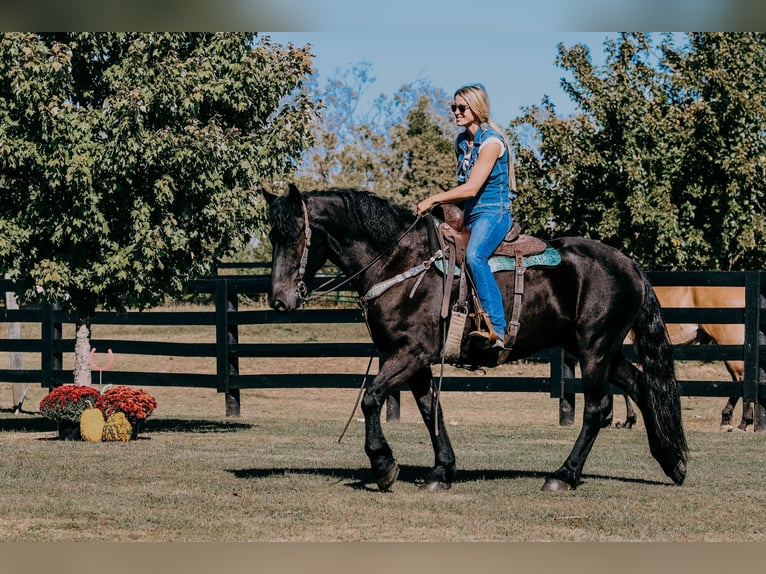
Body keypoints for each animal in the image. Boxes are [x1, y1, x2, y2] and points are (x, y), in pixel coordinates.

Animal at [266, 187, 688, 492]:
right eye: (271, 236)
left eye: (297, 235)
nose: (279, 299)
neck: (399, 262)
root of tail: (628, 263)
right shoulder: (415, 360)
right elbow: (429, 409)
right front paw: (441, 471)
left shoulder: (411, 353)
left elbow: (371, 398)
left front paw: (384, 465)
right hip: (600, 350)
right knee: (642, 386)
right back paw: (673, 462)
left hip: (595, 350)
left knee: (598, 408)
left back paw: (563, 475)